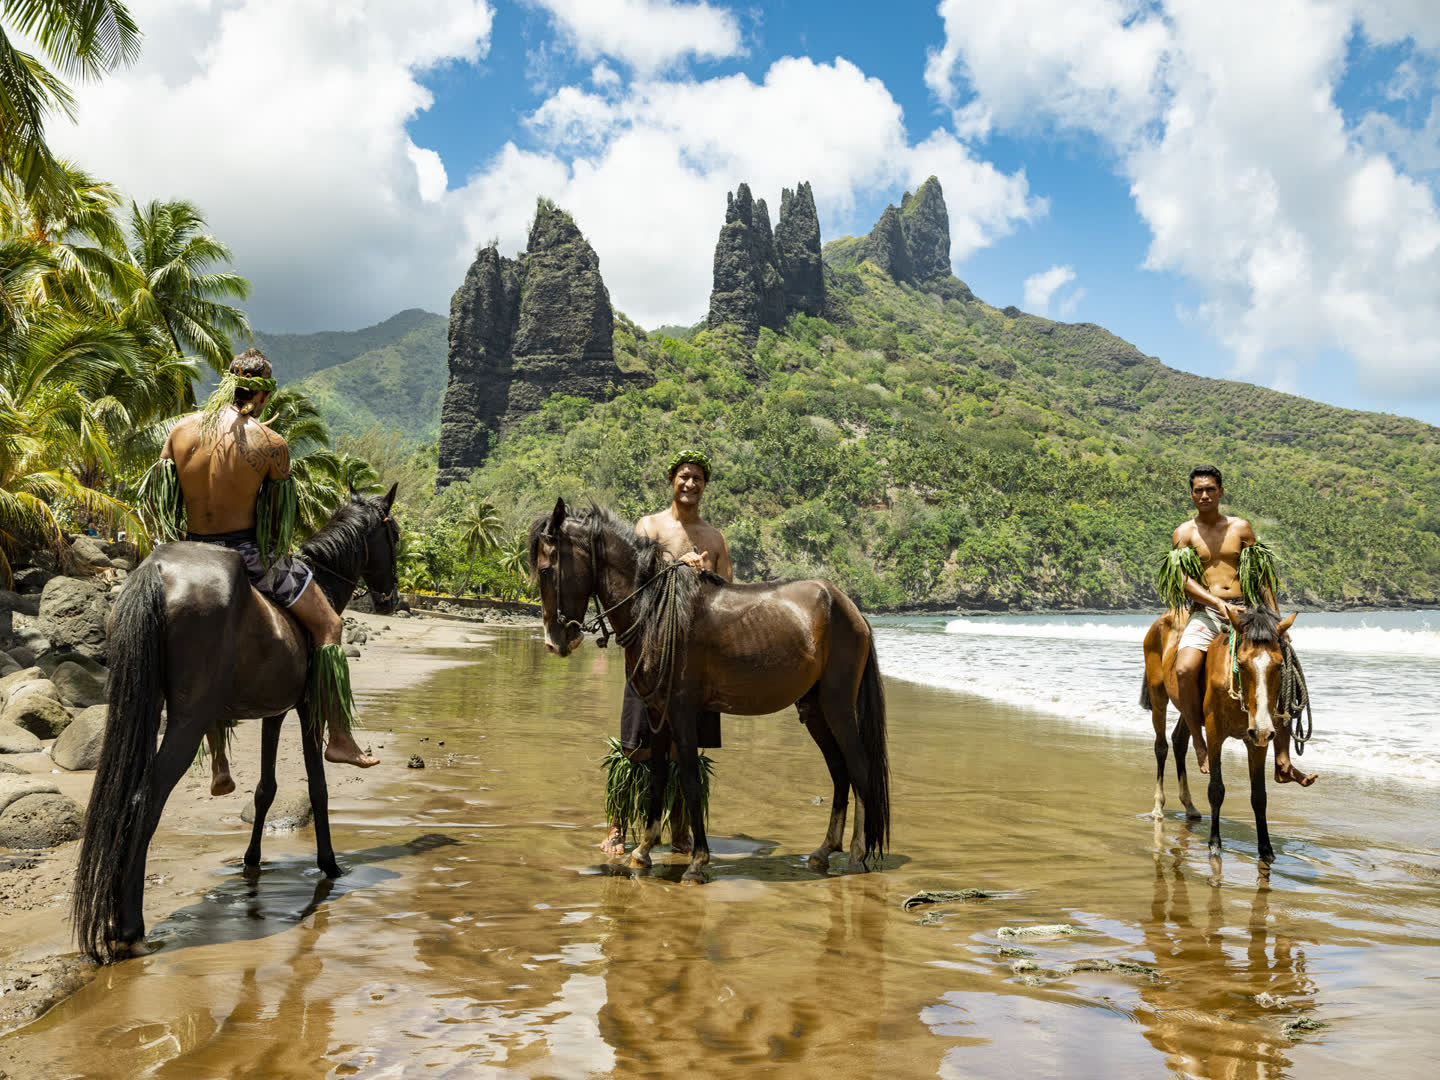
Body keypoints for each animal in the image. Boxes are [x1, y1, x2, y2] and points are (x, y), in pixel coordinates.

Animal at [71, 486, 400, 961]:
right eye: (394, 535)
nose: (394, 598)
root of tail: (155, 570)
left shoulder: (274, 713)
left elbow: (266, 790)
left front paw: (252, 860)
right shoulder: (307, 708)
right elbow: (318, 788)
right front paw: (330, 863)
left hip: (140, 701)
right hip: (188, 717)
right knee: (144, 800)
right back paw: (130, 926)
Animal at [529, 504, 887, 881]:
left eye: (545, 569)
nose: (554, 641)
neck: (655, 611)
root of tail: (848, 607)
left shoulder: (682, 711)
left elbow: (689, 781)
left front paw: (698, 861)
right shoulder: (657, 714)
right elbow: (658, 777)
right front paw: (643, 851)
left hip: (838, 706)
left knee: (859, 769)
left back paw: (856, 855)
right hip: (815, 710)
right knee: (840, 772)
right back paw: (823, 851)